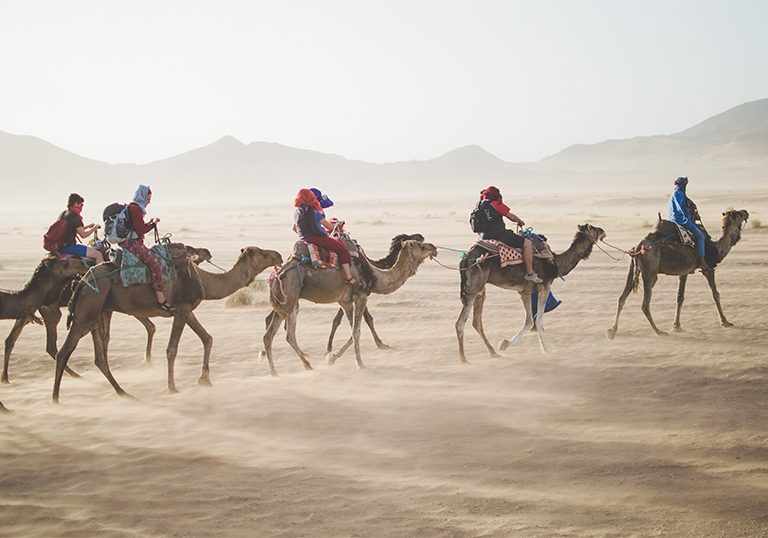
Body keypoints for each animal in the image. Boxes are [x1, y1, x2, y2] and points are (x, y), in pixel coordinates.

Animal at [52, 245, 284, 400]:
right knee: (64, 351)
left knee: (99, 356)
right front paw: (172, 387)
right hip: (87, 309)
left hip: (99, 311)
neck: (204, 280)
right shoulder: (181, 310)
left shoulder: (187, 310)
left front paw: (205, 379)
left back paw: (122, 391)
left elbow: (207, 338)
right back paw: (55, 399)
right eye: (263, 253)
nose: (279, 255)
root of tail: (82, 281)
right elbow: (172, 349)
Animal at [260, 240, 436, 376]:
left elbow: (353, 332)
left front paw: (332, 357)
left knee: (278, 335)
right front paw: (360, 364)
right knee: (281, 334)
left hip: (287, 304)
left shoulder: (345, 302)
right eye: (420, 245)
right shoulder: (361, 296)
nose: (434, 247)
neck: (375, 275)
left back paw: (297, 368)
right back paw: (281, 370)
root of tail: (275, 276)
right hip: (289, 300)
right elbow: (357, 332)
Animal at [456, 223, 608, 360]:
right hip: (474, 288)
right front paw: (548, 350)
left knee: (477, 321)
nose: (603, 231)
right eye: (592, 228)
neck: (555, 262)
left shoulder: (525, 292)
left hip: (481, 290)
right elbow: (539, 319)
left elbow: (529, 321)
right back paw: (464, 359)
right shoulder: (544, 286)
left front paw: (505, 343)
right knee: (460, 323)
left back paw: (493, 352)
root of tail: (465, 259)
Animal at [608, 207, 752, 338]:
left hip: (632, 270)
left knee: (621, 298)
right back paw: (658, 331)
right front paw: (725, 322)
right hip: (650, 273)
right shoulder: (708, 268)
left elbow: (680, 297)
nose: (746, 212)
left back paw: (612, 330)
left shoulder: (684, 272)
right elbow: (715, 294)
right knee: (645, 304)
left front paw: (676, 326)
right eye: (738, 214)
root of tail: (638, 248)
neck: (717, 248)